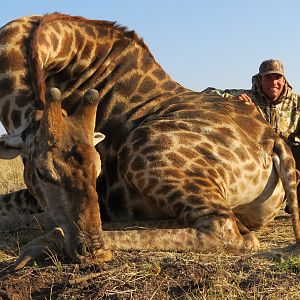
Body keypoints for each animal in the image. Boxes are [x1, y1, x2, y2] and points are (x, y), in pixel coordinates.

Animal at [0, 12, 300, 270]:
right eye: (43, 172)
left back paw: (49, 240)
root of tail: (273, 143)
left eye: (98, 168)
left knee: (227, 231)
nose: (91, 250)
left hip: (139, 150)